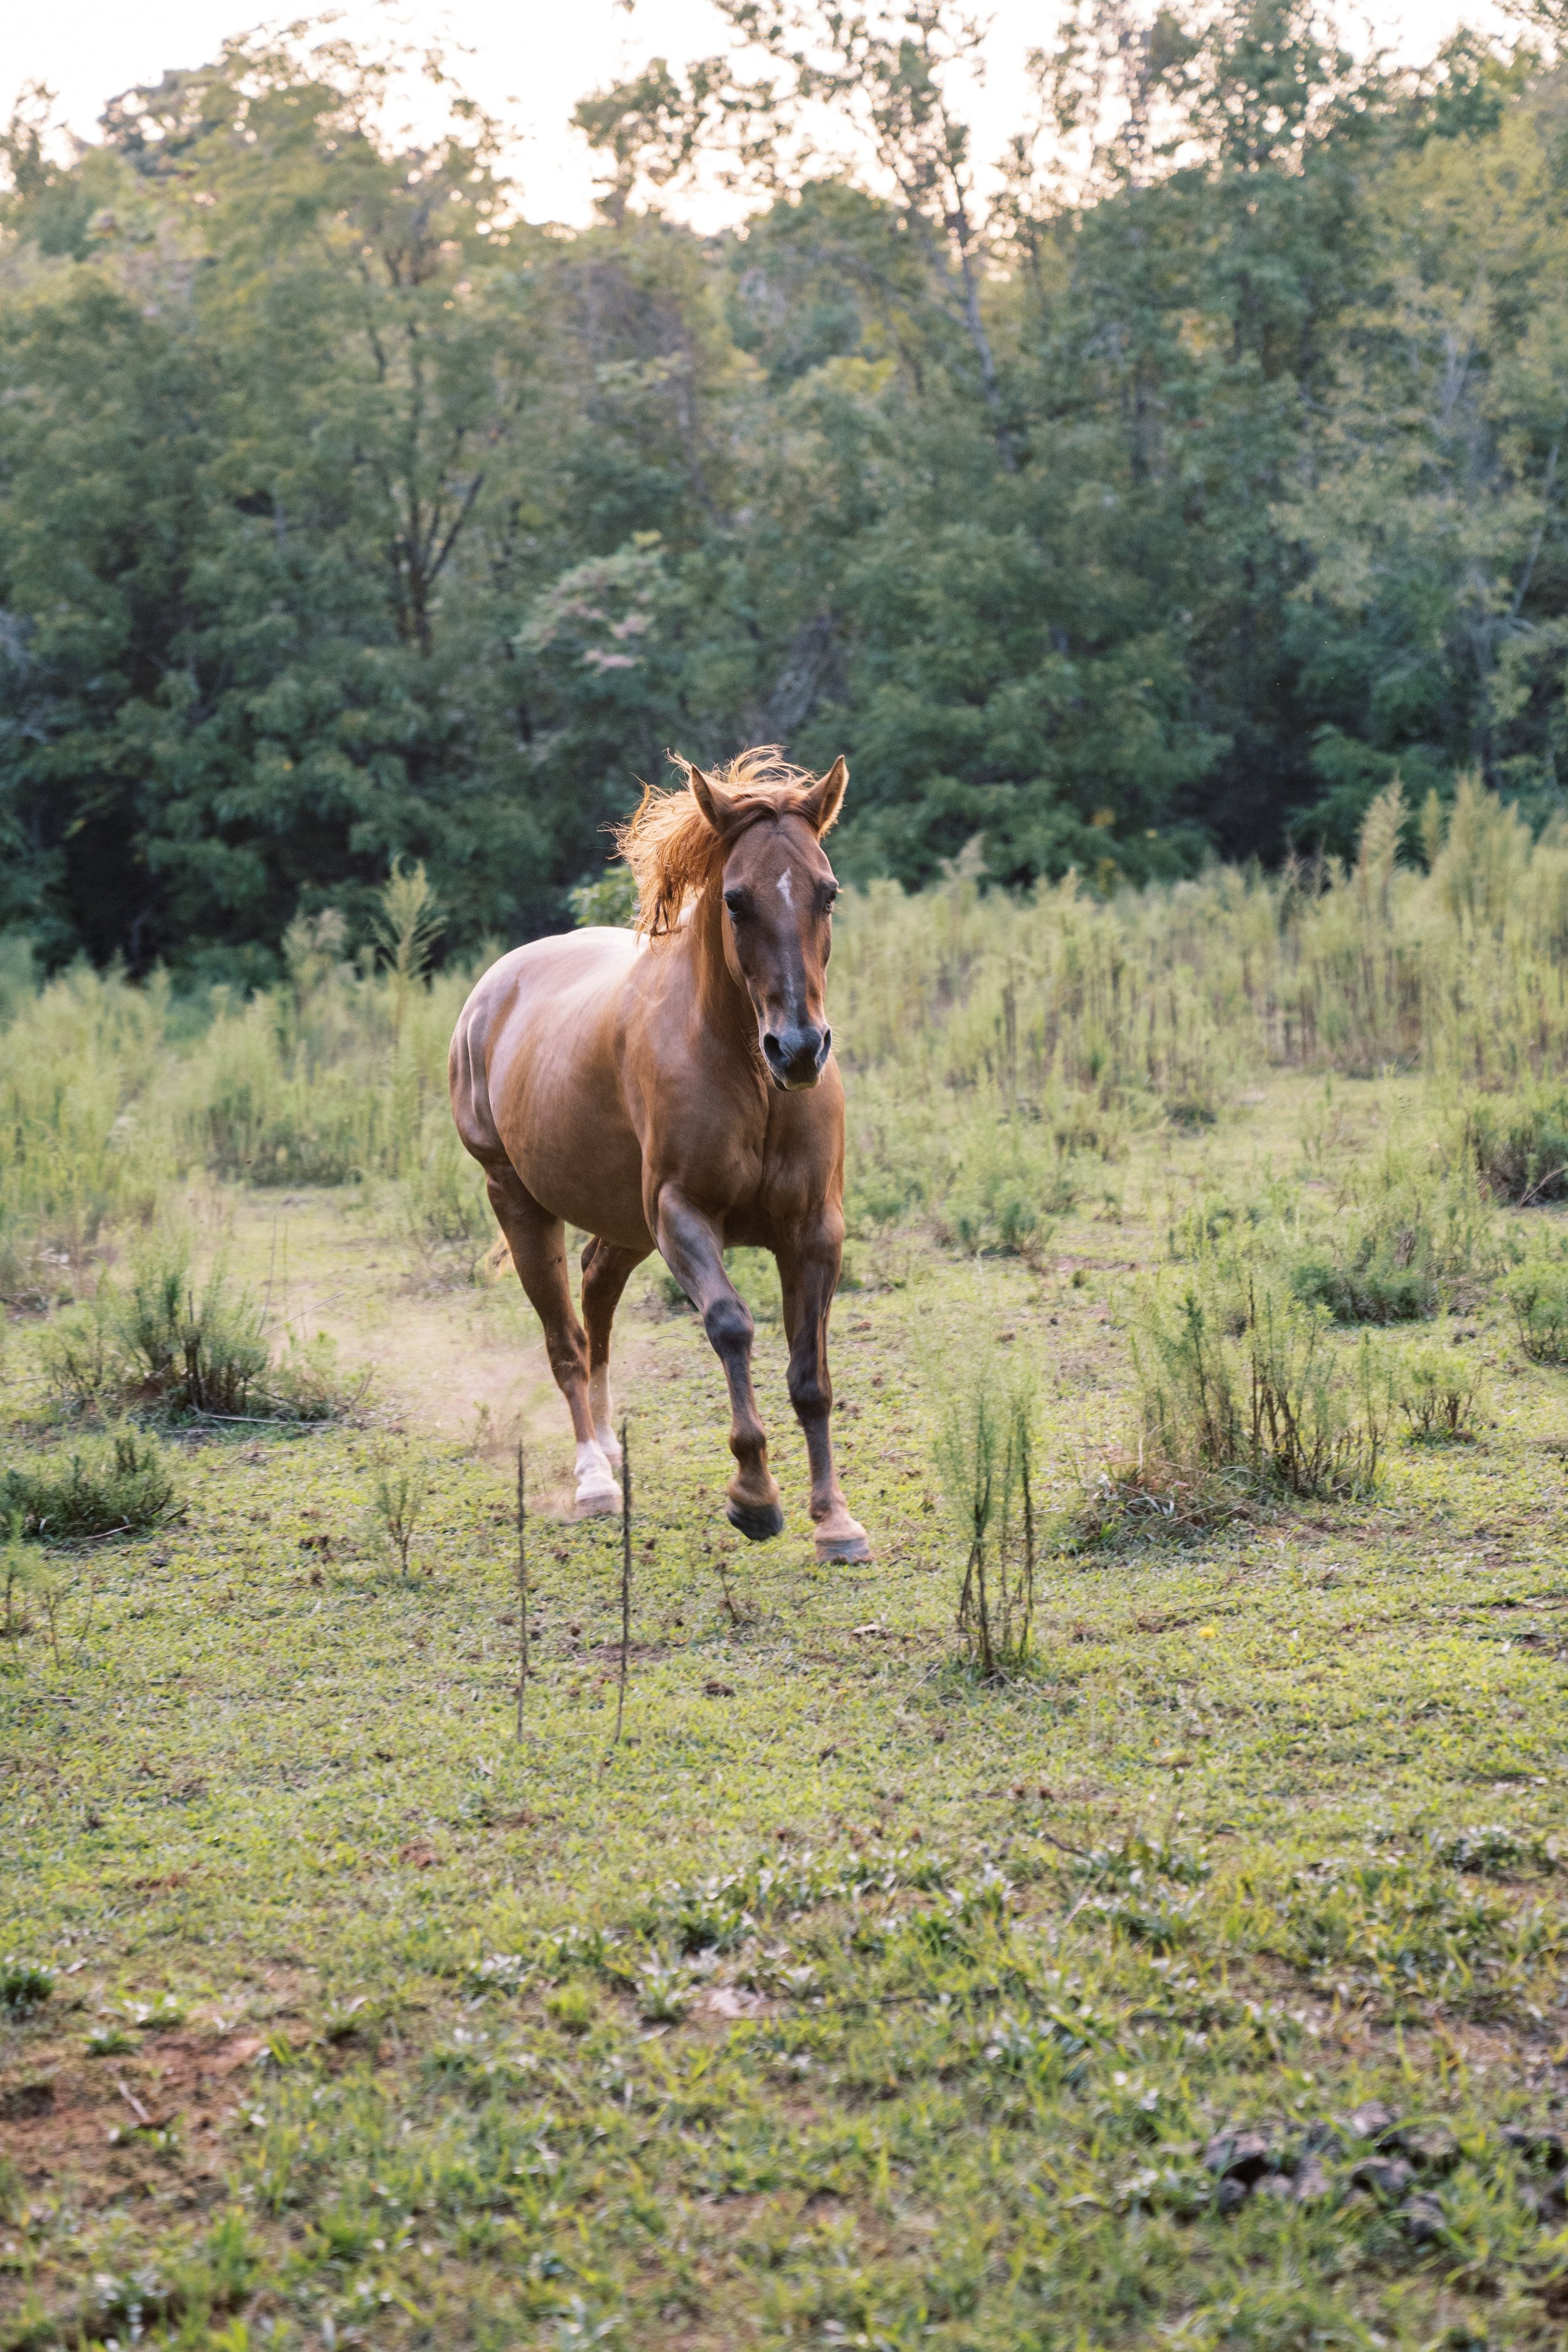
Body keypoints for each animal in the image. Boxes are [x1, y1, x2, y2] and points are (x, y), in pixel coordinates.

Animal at [447, 753, 879, 1562]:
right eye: (735, 900)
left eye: (828, 891)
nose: (799, 1049)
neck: (750, 1076)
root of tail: (490, 992)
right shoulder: (682, 1215)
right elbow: (731, 1325)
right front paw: (754, 1496)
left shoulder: (814, 1231)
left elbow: (811, 1375)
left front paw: (834, 1520)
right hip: (520, 1202)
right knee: (564, 1338)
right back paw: (593, 1477)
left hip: (623, 1223)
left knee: (595, 1301)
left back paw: (611, 1444)